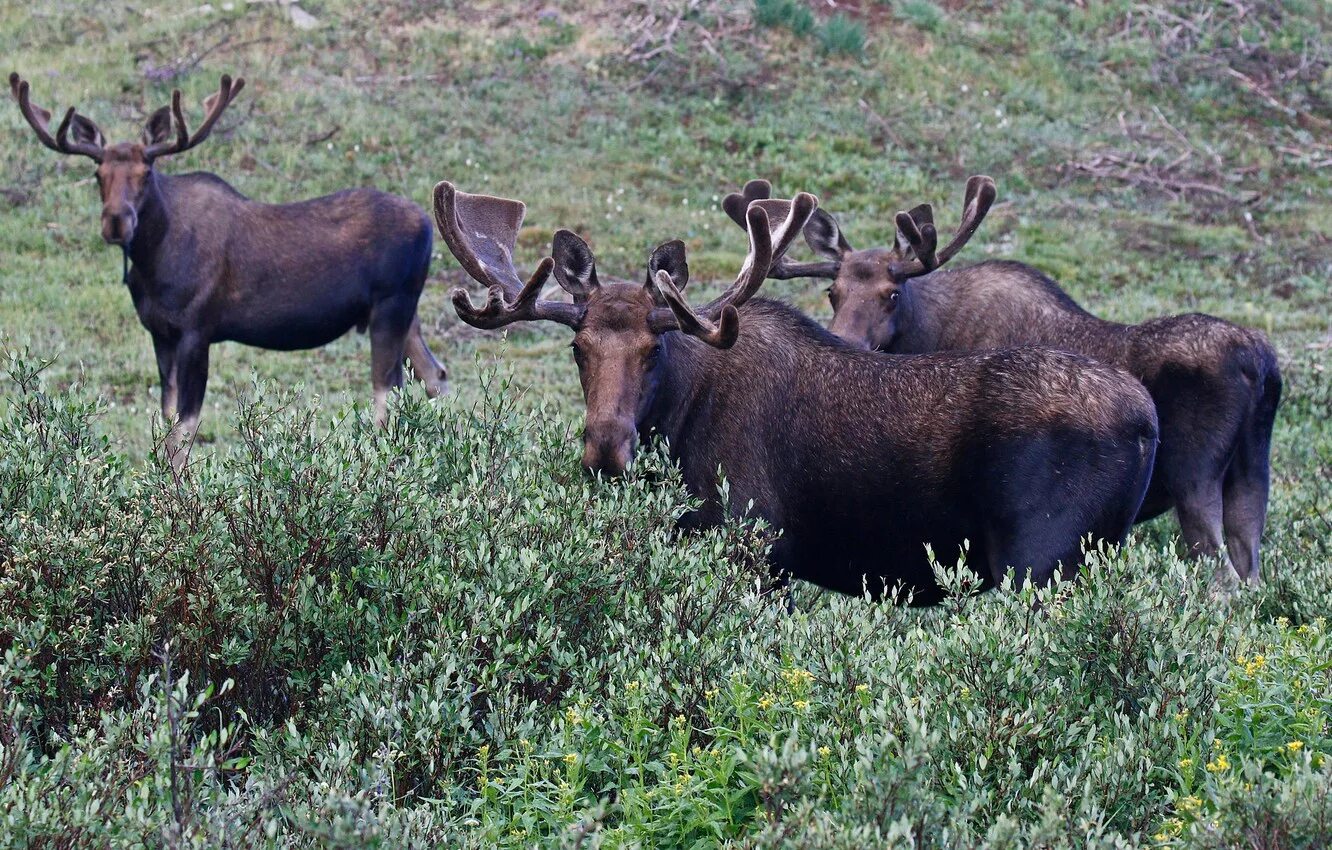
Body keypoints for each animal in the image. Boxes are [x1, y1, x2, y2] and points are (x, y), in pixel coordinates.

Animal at [7, 73, 450, 466]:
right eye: (98, 174)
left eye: (145, 172)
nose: (117, 221)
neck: (152, 262)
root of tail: (429, 226)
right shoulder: (160, 333)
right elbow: (166, 423)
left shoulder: (197, 330)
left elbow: (183, 431)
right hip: (404, 312)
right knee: (436, 375)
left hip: (391, 306)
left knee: (388, 394)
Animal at [434, 182, 1156, 602]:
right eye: (578, 348)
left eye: (653, 350)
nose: (607, 451)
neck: (679, 423)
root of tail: (1146, 420)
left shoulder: (757, 546)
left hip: (1042, 561)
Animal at [729, 175, 1278, 588]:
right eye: (833, 292)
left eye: (892, 293)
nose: (848, 343)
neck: (927, 330)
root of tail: (1262, 363)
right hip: (1252, 473)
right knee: (1251, 575)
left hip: (1194, 478)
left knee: (1224, 581)